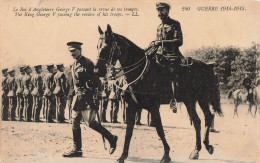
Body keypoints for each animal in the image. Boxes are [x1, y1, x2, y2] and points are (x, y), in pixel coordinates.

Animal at [94, 24, 222, 163]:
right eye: (97, 46)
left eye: (106, 46)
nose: (97, 70)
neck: (141, 72)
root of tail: (208, 66)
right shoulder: (132, 106)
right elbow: (129, 131)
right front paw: (122, 156)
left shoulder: (153, 107)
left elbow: (159, 129)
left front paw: (166, 155)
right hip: (189, 101)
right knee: (197, 121)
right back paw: (196, 150)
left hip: (202, 98)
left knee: (208, 117)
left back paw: (207, 145)